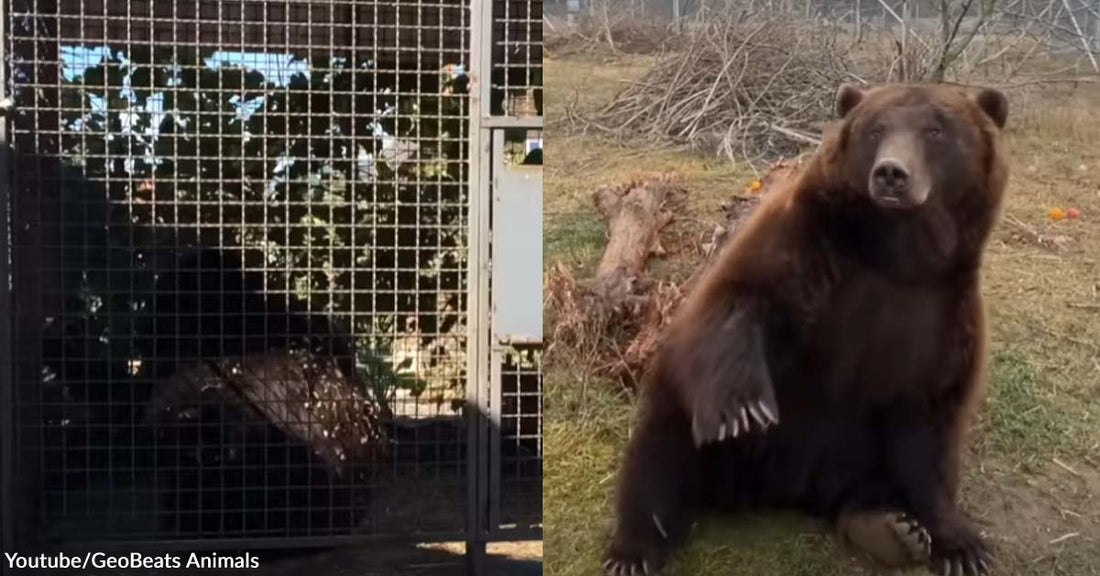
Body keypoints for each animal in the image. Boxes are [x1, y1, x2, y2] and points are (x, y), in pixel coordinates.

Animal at [607, 84, 1007, 576]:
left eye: (935, 130)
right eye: (876, 129)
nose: (891, 174)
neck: (897, 252)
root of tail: (788, 489)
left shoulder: (941, 309)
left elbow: (930, 422)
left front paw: (963, 545)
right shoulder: (806, 241)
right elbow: (737, 299)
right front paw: (743, 408)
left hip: (857, 450)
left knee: (877, 477)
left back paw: (891, 528)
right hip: (702, 437)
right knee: (663, 455)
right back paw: (635, 548)